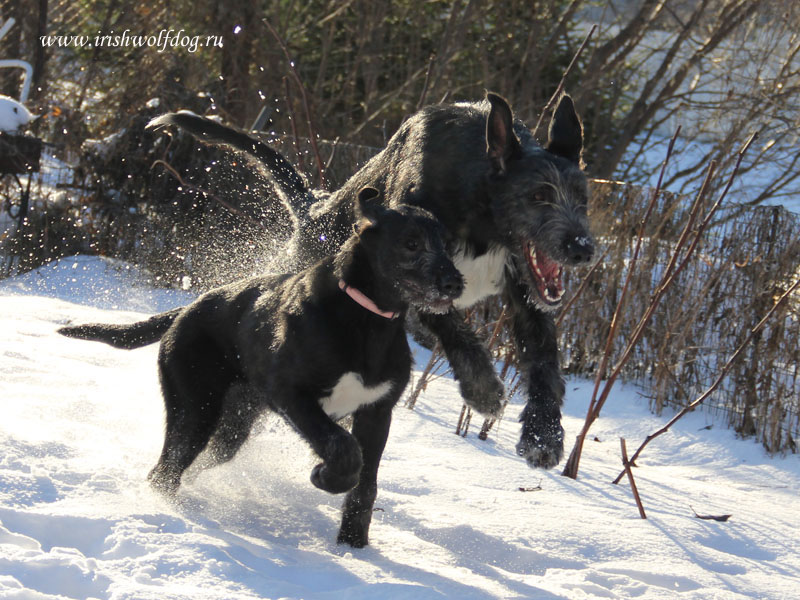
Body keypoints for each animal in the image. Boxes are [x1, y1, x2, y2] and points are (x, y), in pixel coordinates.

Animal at [57, 189, 462, 548]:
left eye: (447, 246)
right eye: (411, 243)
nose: (455, 284)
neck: (366, 319)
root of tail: (188, 308)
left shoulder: (377, 412)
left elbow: (366, 485)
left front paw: (352, 545)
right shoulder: (294, 395)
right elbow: (342, 447)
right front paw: (326, 477)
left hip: (231, 427)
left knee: (200, 460)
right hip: (195, 408)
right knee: (166, 469)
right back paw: (172, 514)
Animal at [148, 92, 592, 468]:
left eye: (583, 198)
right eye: (538, 195)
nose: (583, 248)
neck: (482, 214)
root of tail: (316, 209)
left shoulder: (525, 288)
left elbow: (544, 358)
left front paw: (543, 434)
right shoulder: (417, 274)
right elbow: (455, 330)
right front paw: (483, 388)